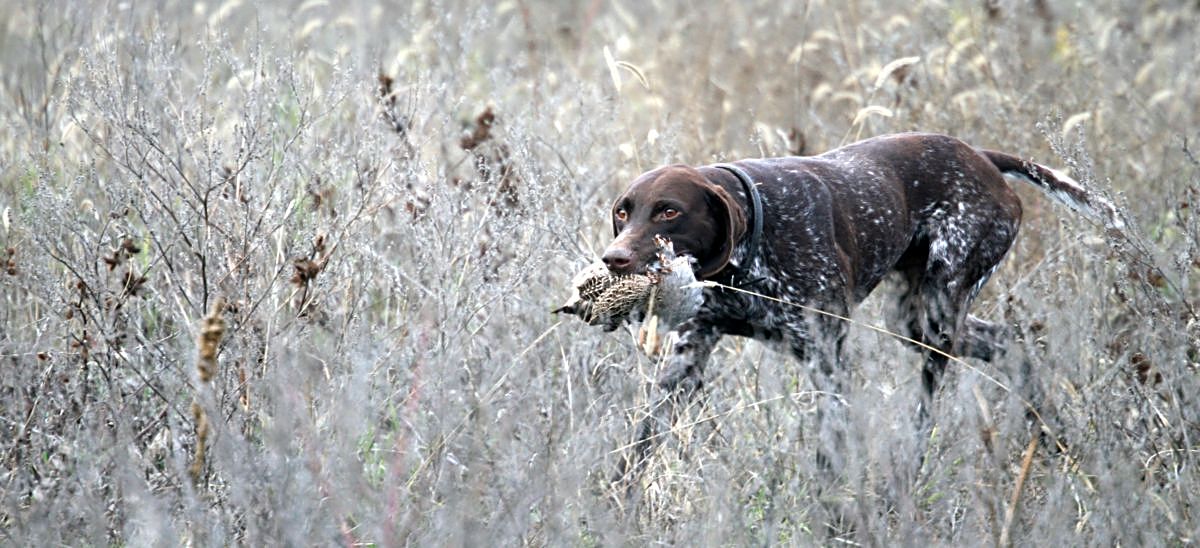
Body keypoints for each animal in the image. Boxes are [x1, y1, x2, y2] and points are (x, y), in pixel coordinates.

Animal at [604, 132, 1118, 479]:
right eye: (623, 212)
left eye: (669, 210)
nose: (614, 258)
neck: (750, 254)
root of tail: (983, 158)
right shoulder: (686, 360)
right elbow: (642, 440)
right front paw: (619, 502)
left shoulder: (827, 361)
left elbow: (829, 459)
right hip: (916, 320)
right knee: (1009, 343)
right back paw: (1054, 437)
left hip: (938, 320)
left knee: (928, 407)